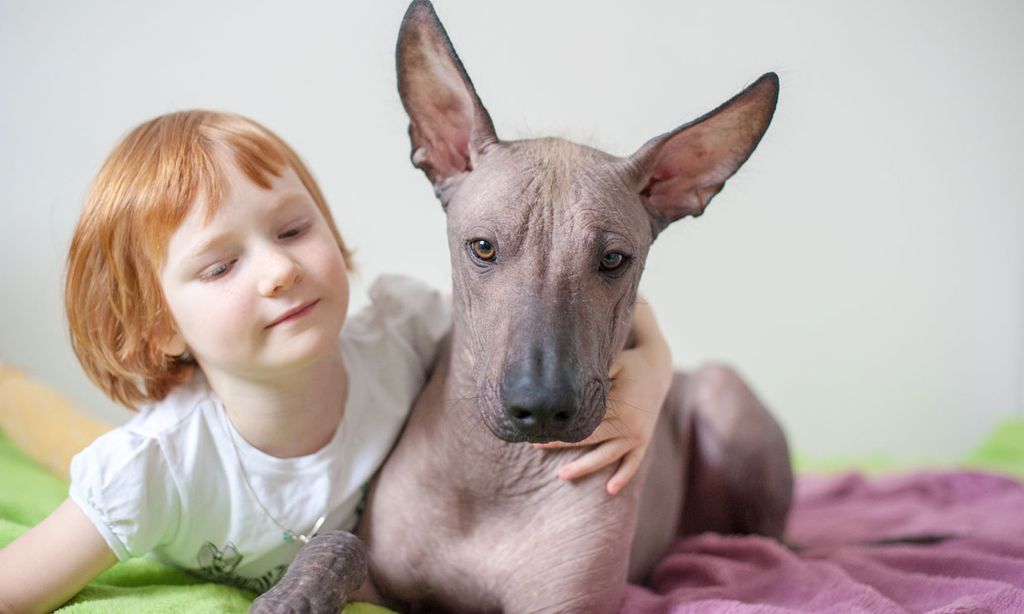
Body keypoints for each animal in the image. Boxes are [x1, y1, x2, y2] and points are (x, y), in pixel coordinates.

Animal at [251, 2, 794, 609]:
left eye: (613, 259)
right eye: (483, 247)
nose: (541, 407)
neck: (498, 477)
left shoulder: (564, 604)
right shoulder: (379, 589)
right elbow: (342, 544)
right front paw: (294, 594)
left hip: (726, 396)